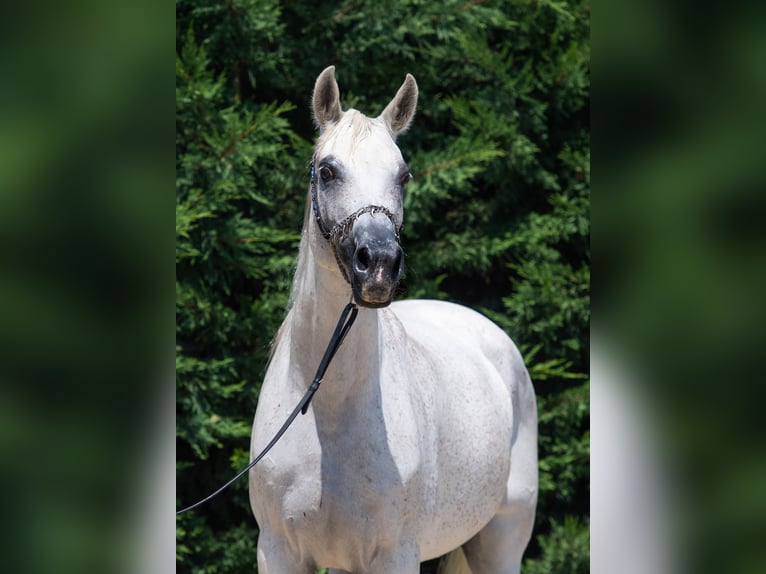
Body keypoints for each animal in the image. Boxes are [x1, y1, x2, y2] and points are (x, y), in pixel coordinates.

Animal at [249, 67, 536, 574]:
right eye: (327, 170)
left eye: (403, 176)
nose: (379, 264)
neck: (326, 411)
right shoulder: (278, 551)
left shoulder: (395, 554)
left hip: (502, 541)